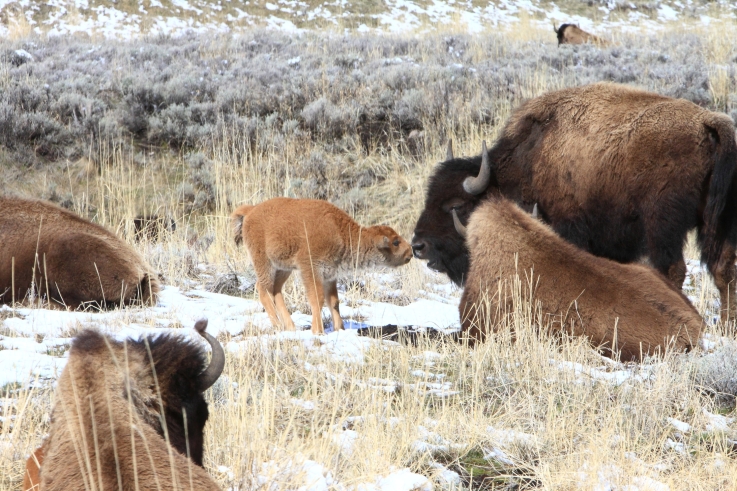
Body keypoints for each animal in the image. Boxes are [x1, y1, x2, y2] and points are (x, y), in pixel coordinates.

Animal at [412, 83, 737, 322]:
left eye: (456, 205)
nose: (418, 246)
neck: (532, 156)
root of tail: (709, 123)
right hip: (718, 223)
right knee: (723, 269)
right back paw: (727, 327)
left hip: (663, 224)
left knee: (674, 269)